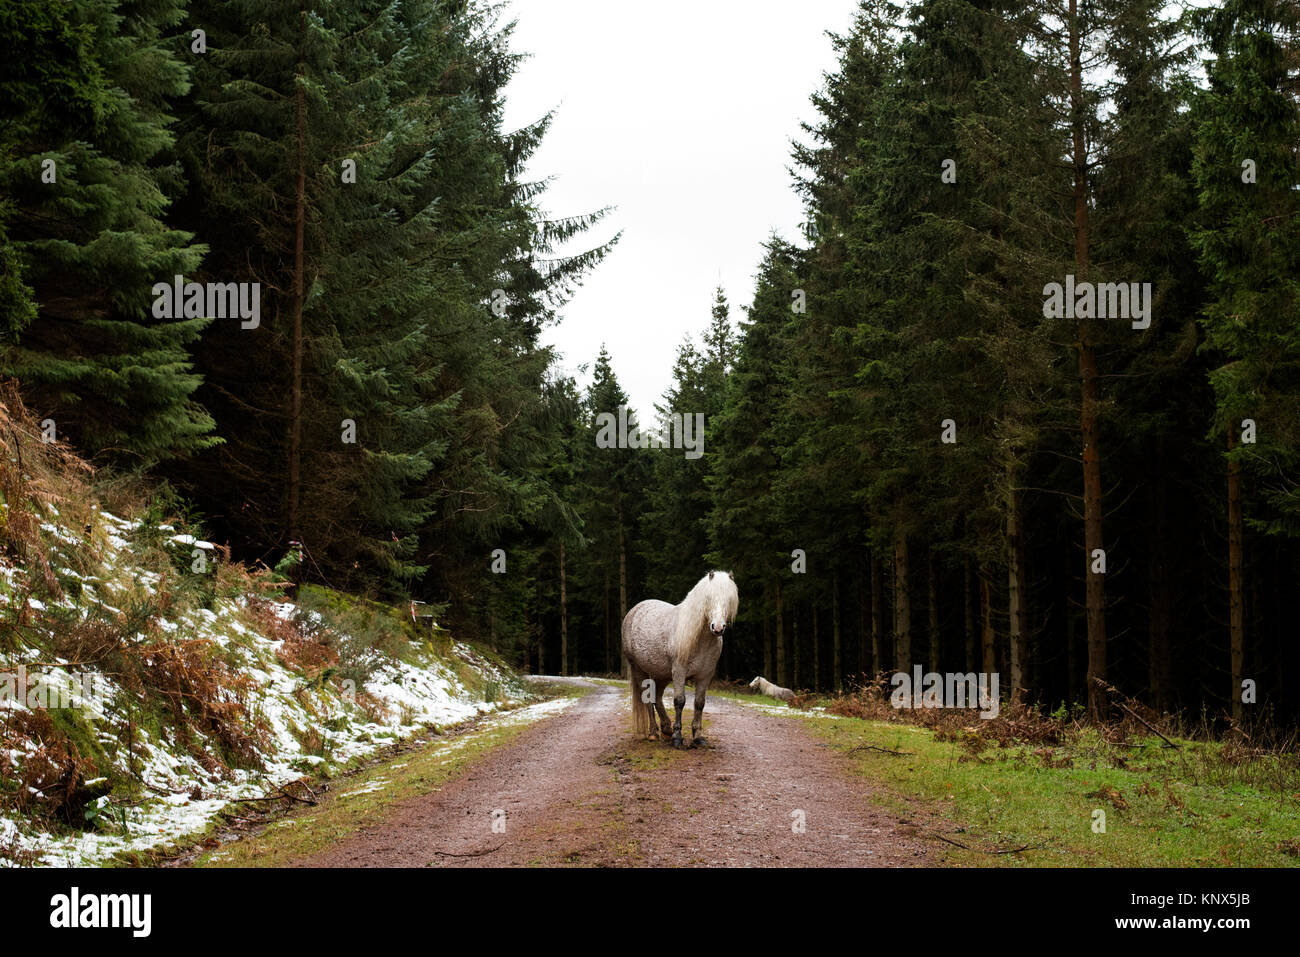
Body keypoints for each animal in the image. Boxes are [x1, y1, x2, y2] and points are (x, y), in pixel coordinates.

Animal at [621, 566, 738, 748]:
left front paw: (698, 737)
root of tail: (633, 611)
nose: (718, 628)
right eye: (709, 598)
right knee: (648, 698)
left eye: (729, 599)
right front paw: (677, 738)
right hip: (639, 670)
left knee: (657, 697)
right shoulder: (679, 672)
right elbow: (679, 701)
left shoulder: (705, 675)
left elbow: (699, 703)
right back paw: (654, 733)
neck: (701, 640)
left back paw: (666, 729)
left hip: (661, 674)